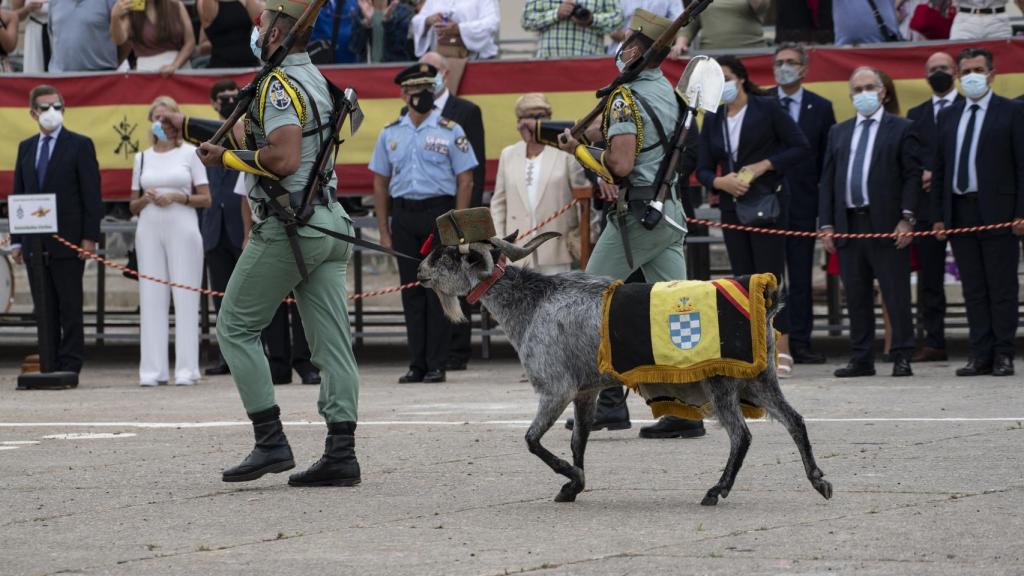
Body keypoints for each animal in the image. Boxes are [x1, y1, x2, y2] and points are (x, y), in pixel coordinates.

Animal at [417, 232, 833, 506]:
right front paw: (573, 486)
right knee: (795, 420)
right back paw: (818, 481)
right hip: (759, 378)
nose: (419, 270)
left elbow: (532, 439)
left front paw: (571, 476)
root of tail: (765, 297)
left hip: (721, 382)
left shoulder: (555, 388)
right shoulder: (585, 390)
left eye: (446, 255)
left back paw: (717, 490)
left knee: (741, 435)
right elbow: (578, 439)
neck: (533, 302)